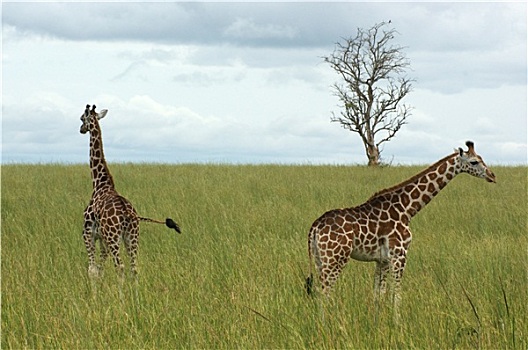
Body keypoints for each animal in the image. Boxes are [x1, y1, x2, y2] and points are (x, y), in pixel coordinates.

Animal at [79, 104, 182, 282]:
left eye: (81, 118)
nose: (81, 129)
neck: (99, 184)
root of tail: (128, 214)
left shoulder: (88, 233)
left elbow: (92, 270)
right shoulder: (102, 239)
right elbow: (100, 269)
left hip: (114, 237)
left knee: (120, 266)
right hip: (132, 236)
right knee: (134, 268)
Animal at [306, 140, 496, 318]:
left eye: (481, 158)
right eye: (474, 162)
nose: (492, 176)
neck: (407, 208)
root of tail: (315, 226)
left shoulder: (381, 259)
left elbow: (379, 295)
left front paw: (378, 323)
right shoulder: (399, 254)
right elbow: (396, 294)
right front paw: (397, 324)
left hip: (319, 259)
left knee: (320, 291)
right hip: (335, 258)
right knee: (325, 292)